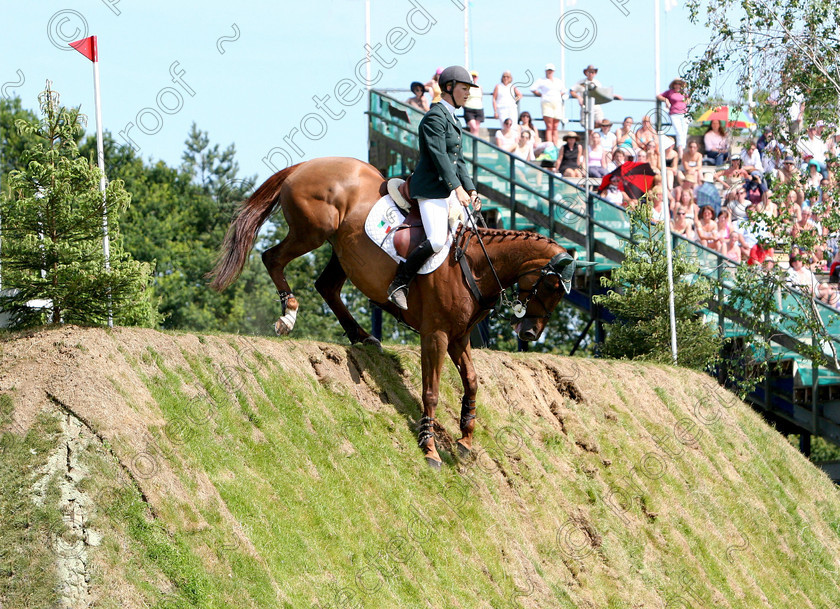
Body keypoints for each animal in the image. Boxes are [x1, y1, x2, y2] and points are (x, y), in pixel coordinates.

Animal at [208, 157, 580, 466]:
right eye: (551, 286)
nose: (530, 333)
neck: (474, 264)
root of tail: (309, 164)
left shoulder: (459, 337)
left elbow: (473, 384)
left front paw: (465, 439)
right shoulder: (436, 335)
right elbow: (431, 391)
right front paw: (430, 449)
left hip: (341, 248)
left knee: (326, 285)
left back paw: (361, 336)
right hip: (313, 231)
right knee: (272, 258)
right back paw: (288, 314)